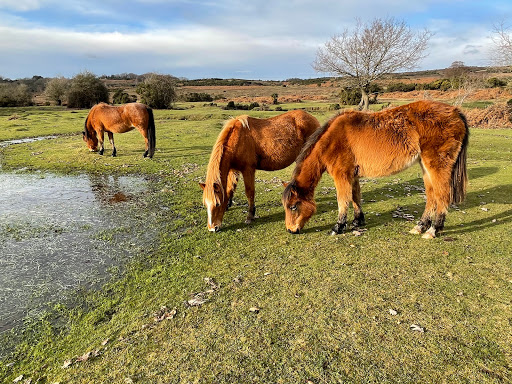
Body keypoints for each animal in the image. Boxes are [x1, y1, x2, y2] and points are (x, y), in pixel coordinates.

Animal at [282, 101, 470, 240]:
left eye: (293, 206)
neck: (331, 139)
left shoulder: (341, 175)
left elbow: (343, 200)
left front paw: (338, 227)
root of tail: (455, 112)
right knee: (431, 196)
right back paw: (420, 226)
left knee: (442, 196)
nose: (291, 230)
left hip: (437, 166)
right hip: (425, 167)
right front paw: (358, 221)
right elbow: (355, 197)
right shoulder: (352, 175)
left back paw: (433, 230)